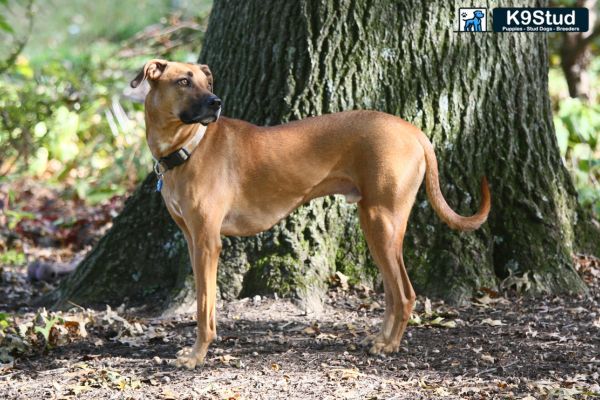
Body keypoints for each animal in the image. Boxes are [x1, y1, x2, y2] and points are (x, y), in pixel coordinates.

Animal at [129, 59, 490, 368]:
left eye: (207, 82)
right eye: (184, 81)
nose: (216, 102)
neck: (188, 148)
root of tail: (413, 132)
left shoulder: (207, 243)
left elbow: (204, 309)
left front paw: (196, 356)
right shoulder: (193, 241)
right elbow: (208, 303)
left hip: (381, 223)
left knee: (403, 294)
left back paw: (389, 345)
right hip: (375, 225)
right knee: (393, 292)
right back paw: (381, 338)